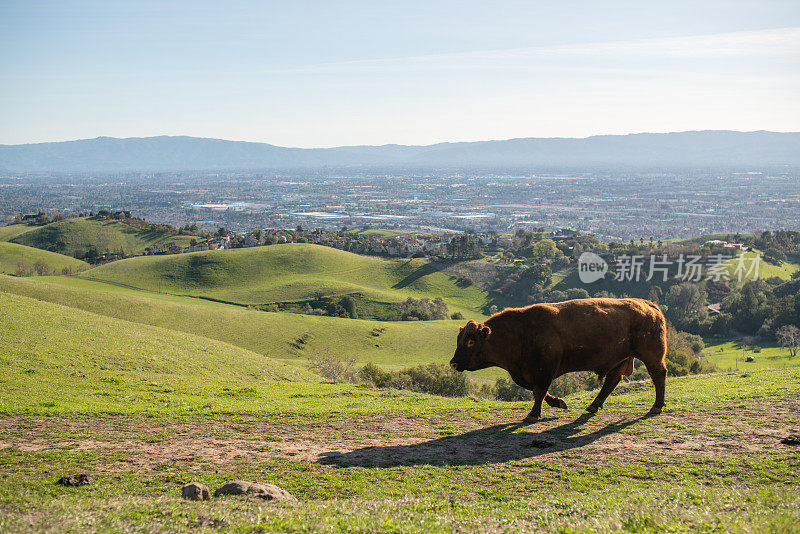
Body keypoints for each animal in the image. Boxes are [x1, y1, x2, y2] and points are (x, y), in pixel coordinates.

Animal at [450, 298, 668, 422]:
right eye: (459, 339)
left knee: (658, 375)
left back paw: (657, 406)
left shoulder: (546, 368)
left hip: (652, 355)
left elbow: (539, 390)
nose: (453, 363)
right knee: (612, 380)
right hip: (620, 359)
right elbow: (538, 390)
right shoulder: (526, 373)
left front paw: (533, 414)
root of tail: (648, 305)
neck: (521, 330)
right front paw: (558, 402)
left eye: (470, 341)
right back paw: (594, 405)